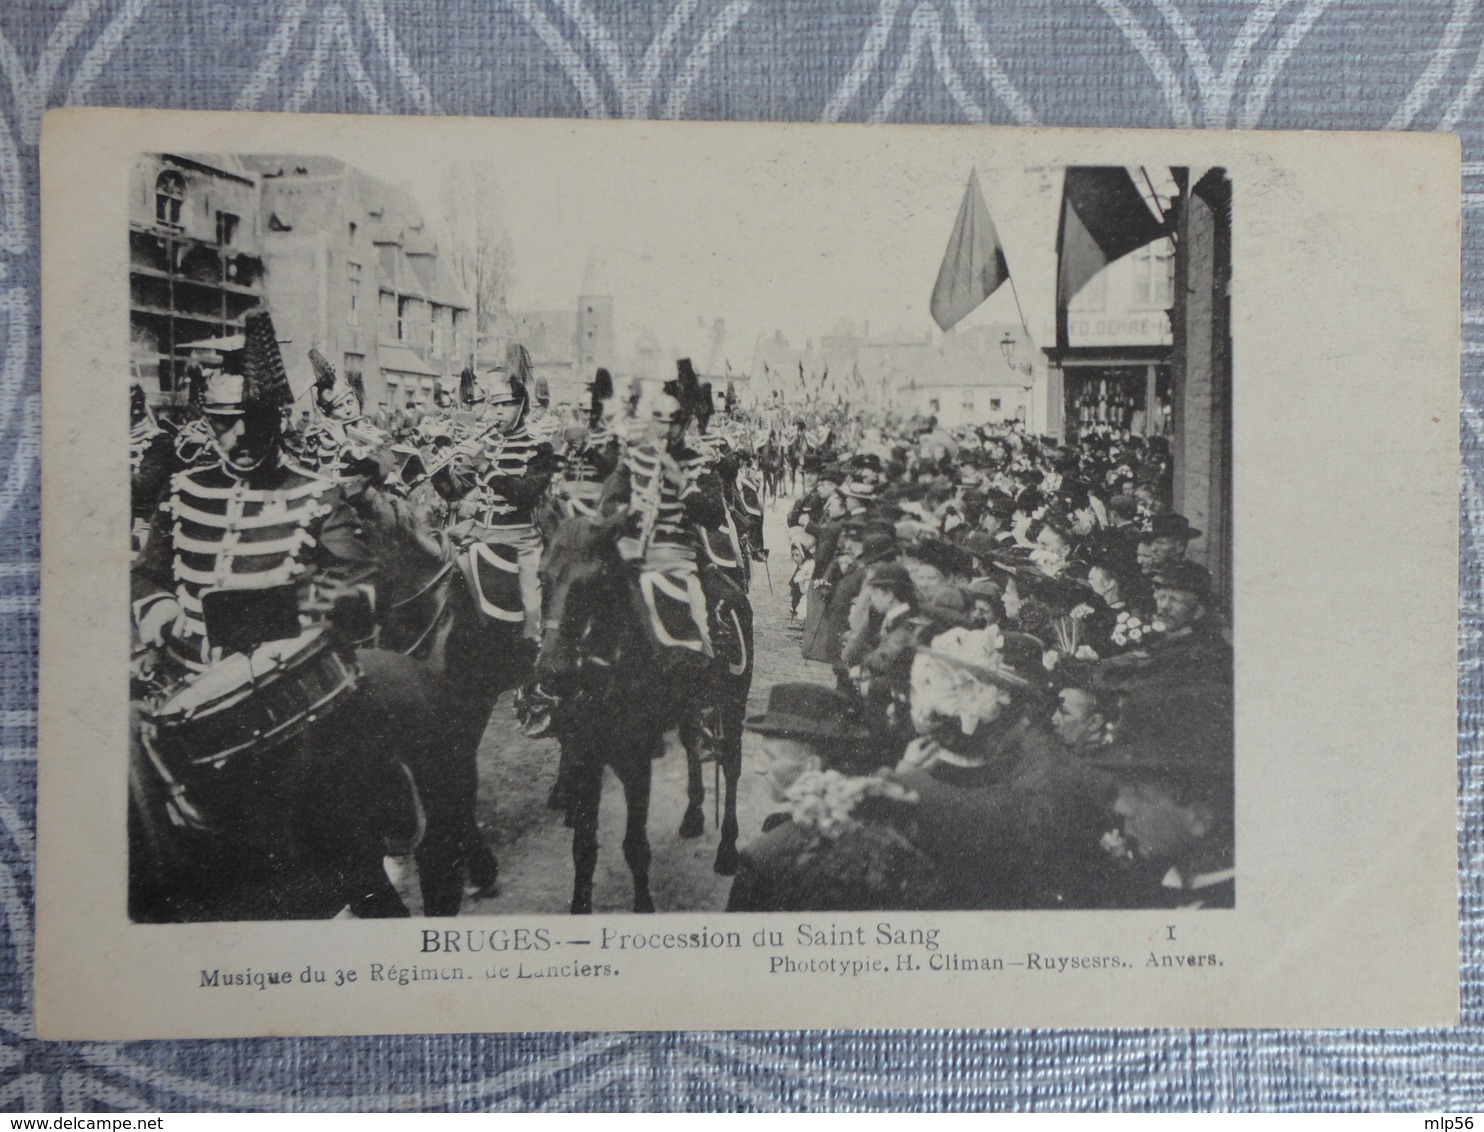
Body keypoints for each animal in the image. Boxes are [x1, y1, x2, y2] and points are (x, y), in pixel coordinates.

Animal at [534, 519, 753, 913]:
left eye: (594, 582)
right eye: (542, 578)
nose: (551, 670)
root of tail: (729, 586)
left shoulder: (635, 761)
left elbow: (635, 845)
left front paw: (643, 904)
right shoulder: (585, 758)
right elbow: (583, 847)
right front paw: (580, 904)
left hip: (732, 706)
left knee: (730, 766)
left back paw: (727, 850)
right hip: (688, 709)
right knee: (693, 746)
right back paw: (693, 815)